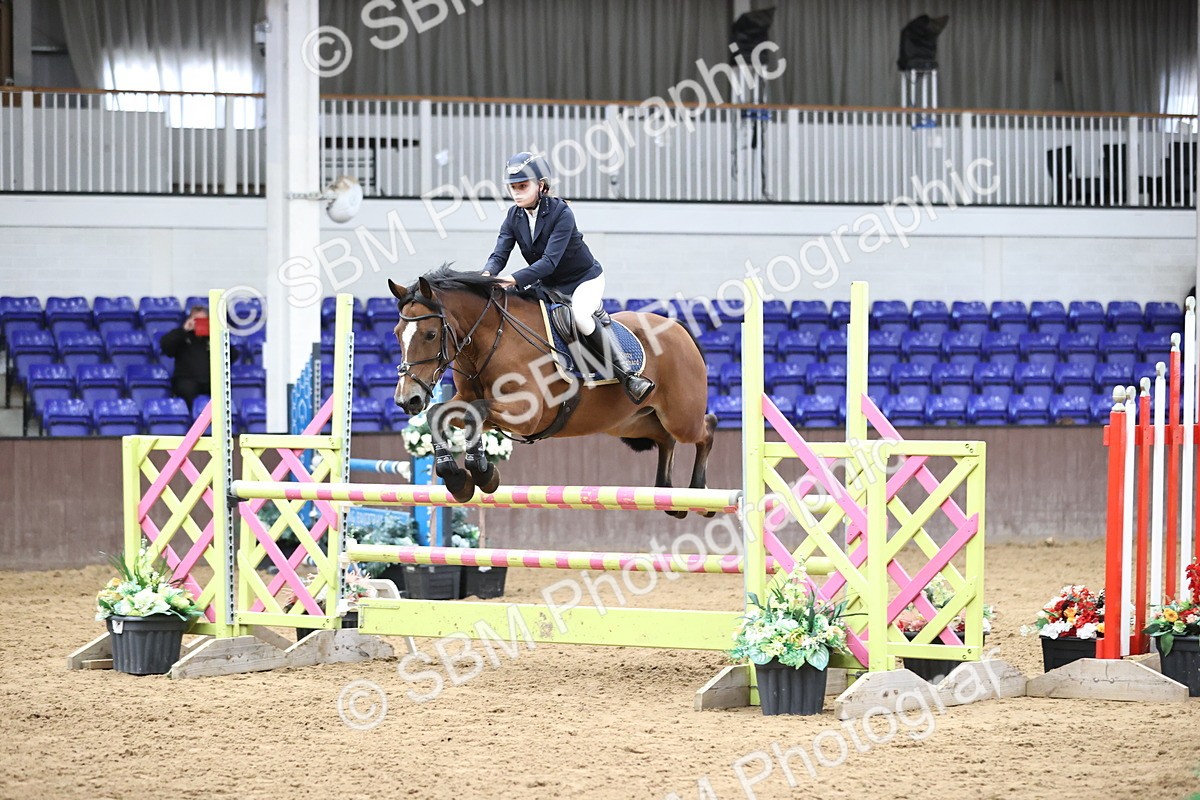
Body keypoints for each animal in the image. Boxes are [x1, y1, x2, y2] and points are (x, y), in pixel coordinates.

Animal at [387, 266, 717, 518]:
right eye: (396, 334)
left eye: (430, 334)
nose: (407, 400)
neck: (491, 339)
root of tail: (679, 328)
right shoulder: (472, 402)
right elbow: (441, 413)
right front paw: (458, 479)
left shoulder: (526, 412)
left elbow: (475, 412)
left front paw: (481, 471)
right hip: (630, 422)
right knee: (665, 438)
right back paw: (669, 497)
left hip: (680, 416)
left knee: (706, 429)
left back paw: (701, 496)